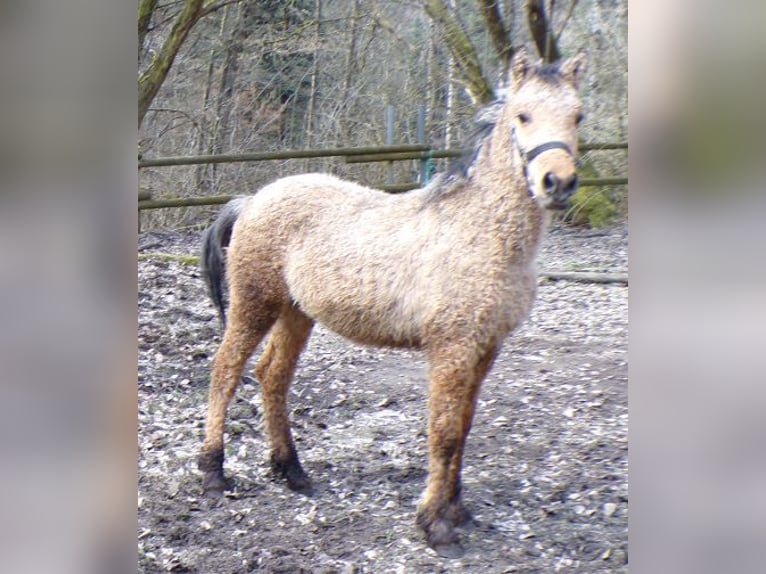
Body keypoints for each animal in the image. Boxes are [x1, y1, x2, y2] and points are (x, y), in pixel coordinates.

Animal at [197, 48, 586, 558]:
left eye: (578, 115)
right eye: (522, 115)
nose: (556, 183)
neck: (479, 232)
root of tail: (252, 199)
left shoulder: (486, 347)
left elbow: (464, 425)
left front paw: (457, 511)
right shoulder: (451, 347)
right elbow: (443, 431)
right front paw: (434, 526)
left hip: (296, 312)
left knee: (271, 376)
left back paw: (292, 471)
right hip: (254, 302)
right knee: (225, 369)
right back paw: (213, 472)